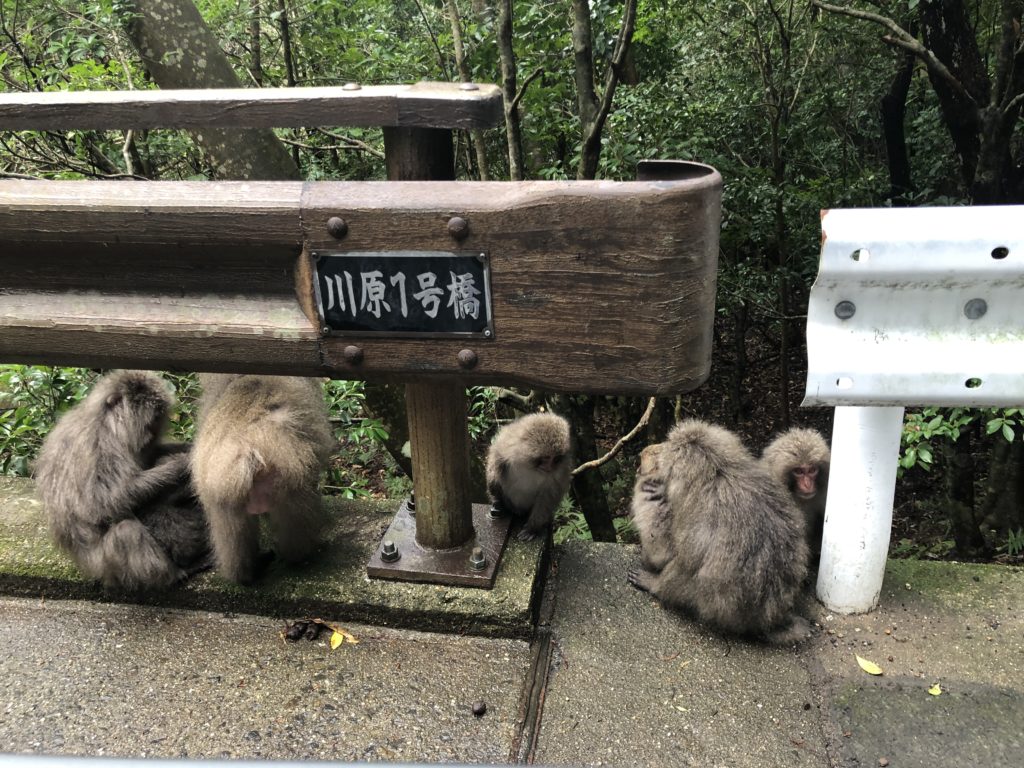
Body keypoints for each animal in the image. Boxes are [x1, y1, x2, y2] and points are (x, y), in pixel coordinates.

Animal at [33, 370, 209, 593]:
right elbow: (104, 503)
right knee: (125, 532)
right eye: (149, 424)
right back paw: (175, 574)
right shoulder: (102, 444)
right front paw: (181, 464)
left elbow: (147, 459)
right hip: (104, 565)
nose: (150, 437)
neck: (106, 420)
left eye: (156, 424)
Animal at [191, 376, 335, 585]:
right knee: (296, 519)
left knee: (231, 532)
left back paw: (243, 574)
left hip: (223, 490)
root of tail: (246, 448)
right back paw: (298, 556)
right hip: (286, 482)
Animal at [626, 417, 811, 647]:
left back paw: (656, 586)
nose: (645, 451)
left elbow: (672, 552)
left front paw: (650, 564)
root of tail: (767, 620)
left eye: (664, 454)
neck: (719, 471)